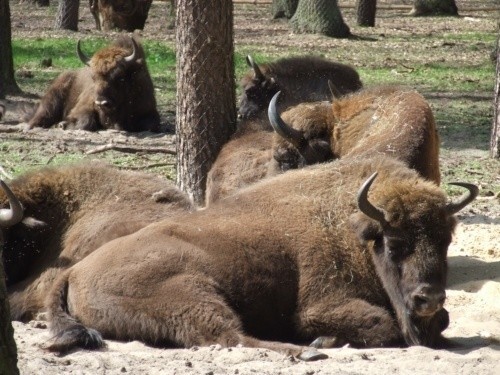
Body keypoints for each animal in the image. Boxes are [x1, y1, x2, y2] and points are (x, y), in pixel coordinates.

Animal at [26, 35, 160, 132]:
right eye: (93, 78)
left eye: (120, 77)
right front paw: (62, 124)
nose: (101, 102)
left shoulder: (149, 110)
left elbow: (151, 125)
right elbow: (86, 121)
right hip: (51, 101)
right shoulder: (83, 107)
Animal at [46, 155, 476, 358]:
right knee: (227, 336)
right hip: (191, 293)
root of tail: (75, 271)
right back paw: (309, 352)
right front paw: (325, 338)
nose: (428, 298)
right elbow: (382, 326)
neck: (353, 229)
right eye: (394, 243)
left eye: (445, 240)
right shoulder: (320, 305)